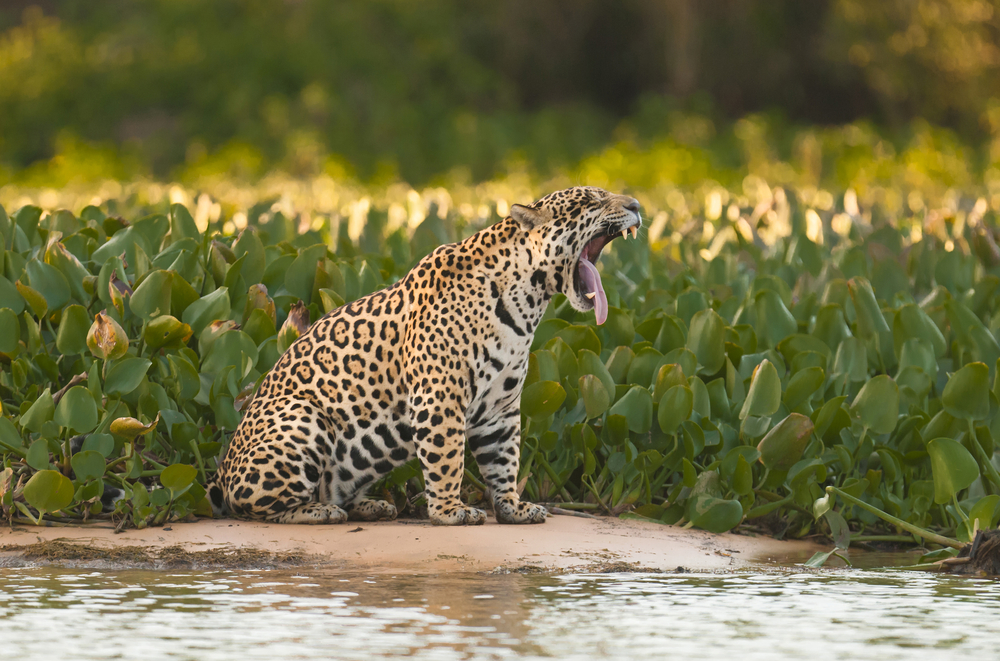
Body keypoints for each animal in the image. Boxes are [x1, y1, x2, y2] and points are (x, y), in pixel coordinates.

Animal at [207, 186, 642, 526]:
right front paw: (451, 510)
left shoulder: (501, 406)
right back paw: (319, 512)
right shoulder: (440, 393)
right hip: (302, 418)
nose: (637, 204)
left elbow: (504, 458)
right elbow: (447, 457)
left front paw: (513, 507)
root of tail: (221, 471)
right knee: (255, 506)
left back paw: (369, 505)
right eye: (591, 201)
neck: (527, 303)